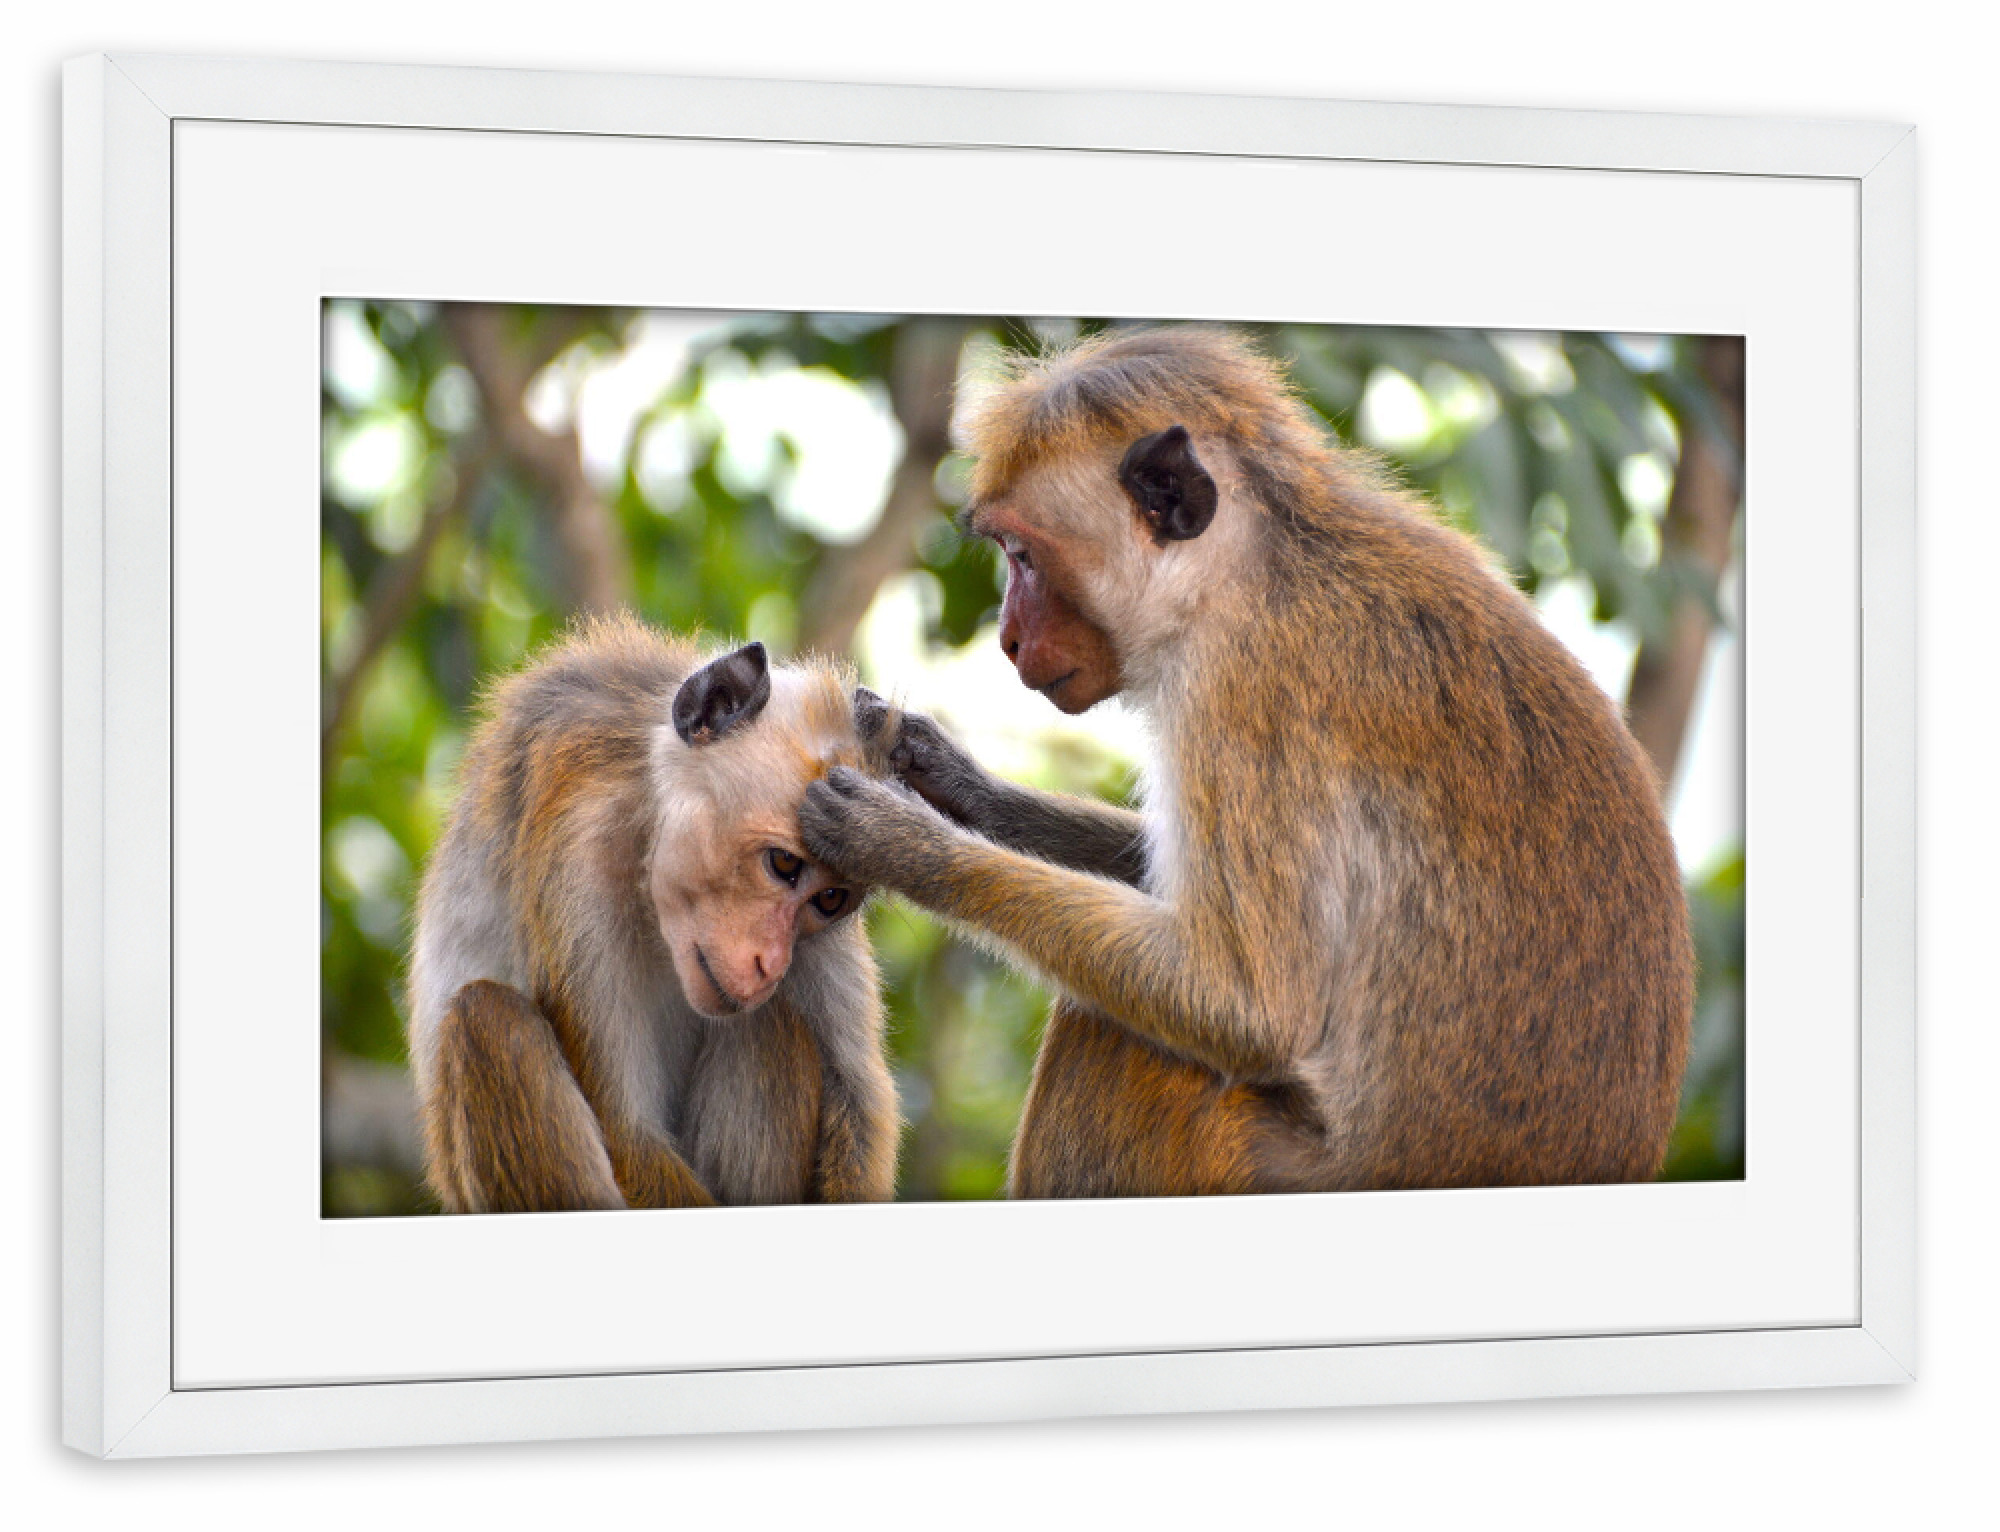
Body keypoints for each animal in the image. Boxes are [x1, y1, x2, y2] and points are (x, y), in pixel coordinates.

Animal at [405, 614, 900, 1213]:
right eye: (784, 863)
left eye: (829, 900)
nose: (772, 964)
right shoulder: (578, 852)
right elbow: (628, 1135)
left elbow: (860, 1099)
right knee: (486, 1017)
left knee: (767, 1026)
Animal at [803, 325, 1694, 1199]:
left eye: (1022, 556)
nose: (1008, 640)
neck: (1250, 568)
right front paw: (942, 773)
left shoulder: (1240, 691)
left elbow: (1245, 1006)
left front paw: (904, 844)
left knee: (1118, 1029)